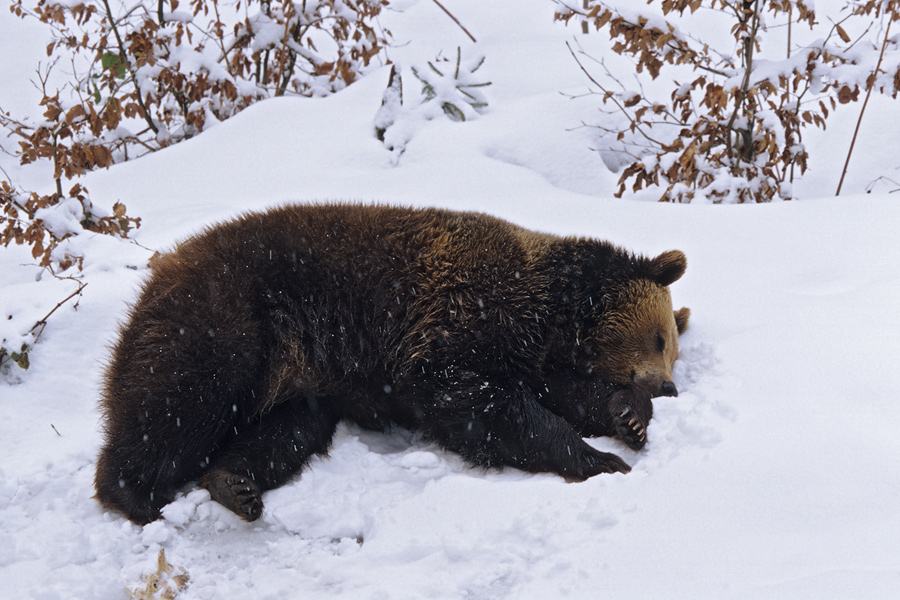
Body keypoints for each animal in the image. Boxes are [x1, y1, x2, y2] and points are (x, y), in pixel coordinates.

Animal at [95, 204, 688, 524]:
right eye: (659, 337)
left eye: (672, 347)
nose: (667, 387)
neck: (555, 313)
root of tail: (161, 268)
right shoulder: (466, 314)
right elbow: (474, 403)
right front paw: (598, 458)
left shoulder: (534, 356)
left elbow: (561, 394)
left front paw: (628, 419)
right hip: (231, 315)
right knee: (179, 400)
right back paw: (135, 492)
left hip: (300, 382)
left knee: (285, 431)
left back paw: (234, 484)